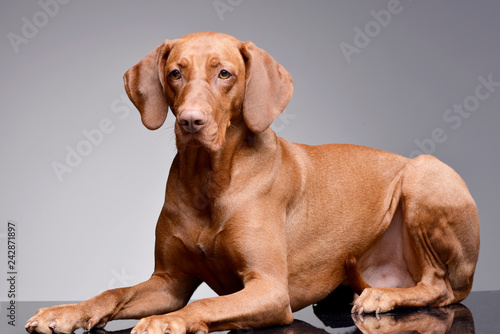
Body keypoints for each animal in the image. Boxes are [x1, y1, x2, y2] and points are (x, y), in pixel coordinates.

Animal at [25, 32, 478, 334]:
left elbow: (205, 304)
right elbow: (113, 293)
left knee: (439, 287)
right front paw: (65, 311)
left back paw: (385, 296)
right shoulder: (168, 283)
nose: (191, 121)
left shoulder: (270, 289)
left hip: (424, 174)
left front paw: (167, 322)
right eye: (175, 73)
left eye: (224, 74)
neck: (208, 179)